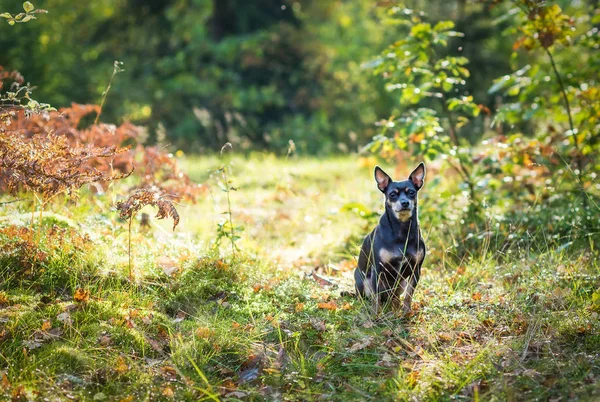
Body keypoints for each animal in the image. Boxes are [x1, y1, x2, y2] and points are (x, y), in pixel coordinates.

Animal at [356, 163, 426, 314]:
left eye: (411, 192)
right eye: (392, 194)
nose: (405, 203)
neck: (402, 230)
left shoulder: (415, 270)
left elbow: (409, 294)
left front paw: (406, 312)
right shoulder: (378, 270)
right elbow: (376, 298)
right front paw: (376, 314)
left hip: (401, 283)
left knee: (395, 296)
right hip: (364, 281)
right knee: (368, 297)